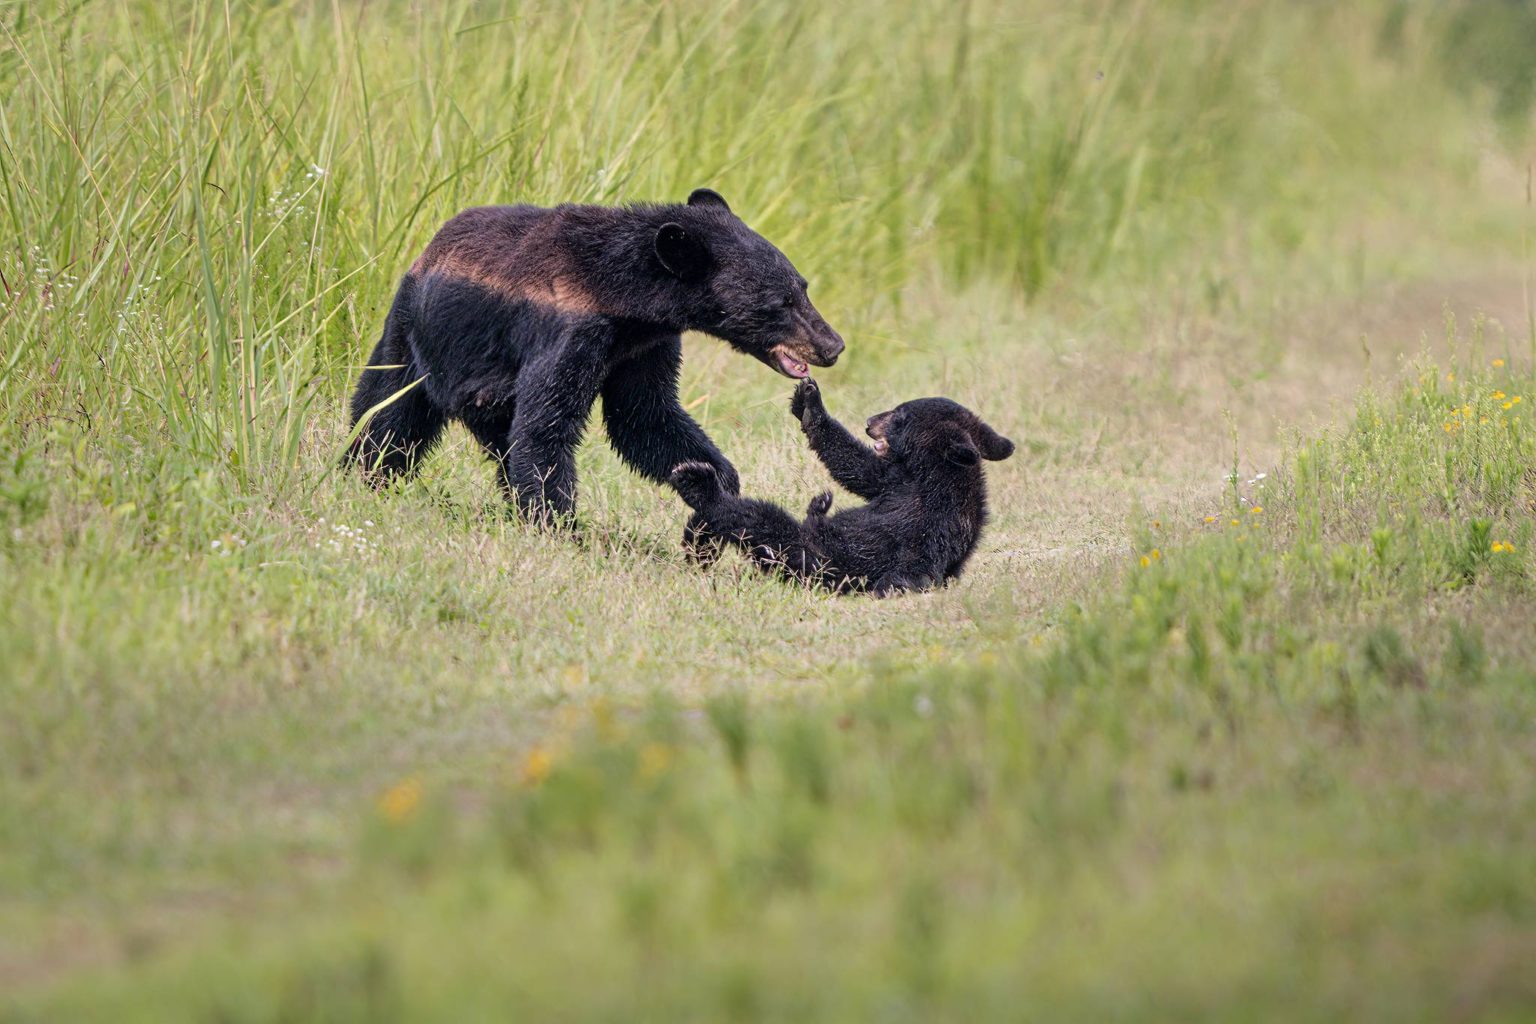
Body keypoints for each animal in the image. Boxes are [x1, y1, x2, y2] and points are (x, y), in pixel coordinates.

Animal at [345, 189, 841, 525]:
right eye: (779, 303)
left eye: (801, 287)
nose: (832, 345)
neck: (624, 298)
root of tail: (427, 250)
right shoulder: (566, 331)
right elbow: (547, 423)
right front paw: (558, 523)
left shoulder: (644, 347)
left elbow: (644, 416)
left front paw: (716, 480)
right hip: (413, 333)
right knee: (388, 409)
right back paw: (362, 471)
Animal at [669, 380, 1007, 595]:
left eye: (899, 415)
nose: (870, 421)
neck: (936, 469)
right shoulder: (899, 478)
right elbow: (859, 469)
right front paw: (809, 406)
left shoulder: (928, 501)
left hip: (819, 557)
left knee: (763, 523)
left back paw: (699, 486)